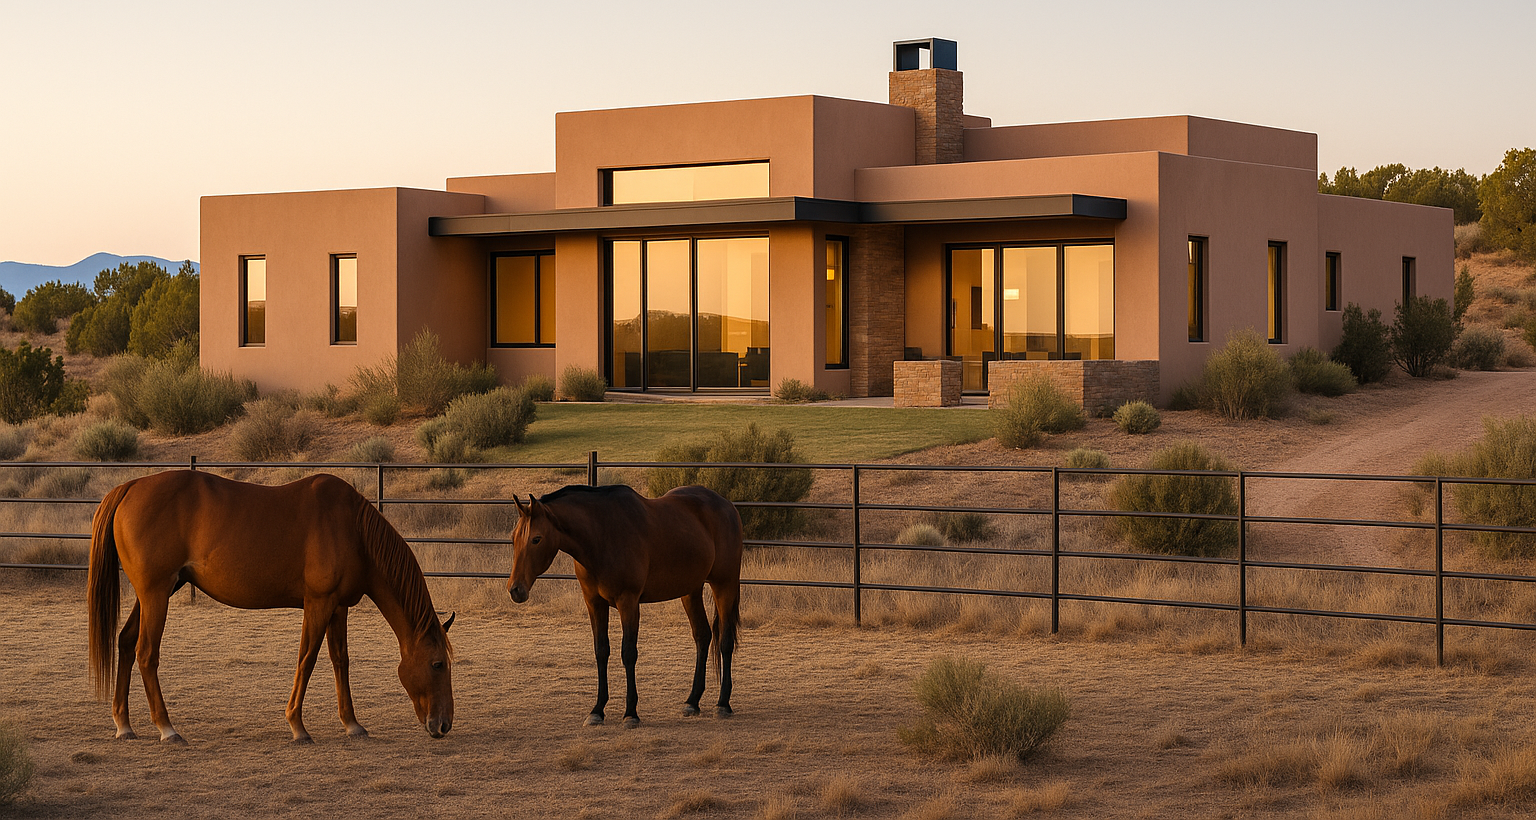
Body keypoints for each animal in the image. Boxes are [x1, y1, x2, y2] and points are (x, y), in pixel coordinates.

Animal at [87, 470, 455, 744]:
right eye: (437, 664)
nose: (444, 724)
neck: (353, 530)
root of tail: (130, 487)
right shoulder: (318, 603)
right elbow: (307, 659)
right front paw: (297, 726)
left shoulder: (338, 608)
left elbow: (341, 661)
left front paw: (352, 724)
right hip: (156, 594)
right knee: (147, 653)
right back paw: (167, 729)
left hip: (154, 595)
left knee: (125, 642)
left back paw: (124, 724)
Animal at [507, 484, 742, 729]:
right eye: (513, 538)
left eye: (536, 539)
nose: (515, 589)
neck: (601, 537)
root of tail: (727, 506)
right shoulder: (594, 603)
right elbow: (601, 651)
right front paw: (597, 710)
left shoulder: (628, 602)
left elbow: (628, 653)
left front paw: (631, 713)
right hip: (691, 590)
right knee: (702, 636)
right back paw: (692, 701)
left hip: (724, 584)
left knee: (725, 641)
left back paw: (723, 704)